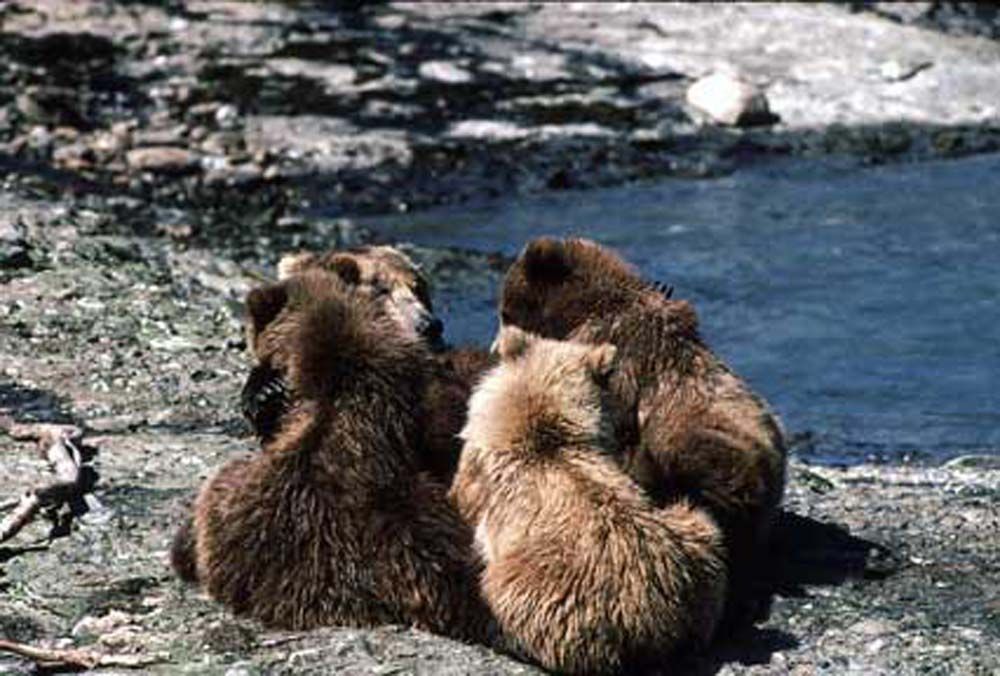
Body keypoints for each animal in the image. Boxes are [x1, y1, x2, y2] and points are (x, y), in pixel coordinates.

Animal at [450, 326, 727, 674]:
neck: (545, 429)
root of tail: (659, 619)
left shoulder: (478, 474)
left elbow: (462, 495)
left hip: (550, 592)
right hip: (692, 540)